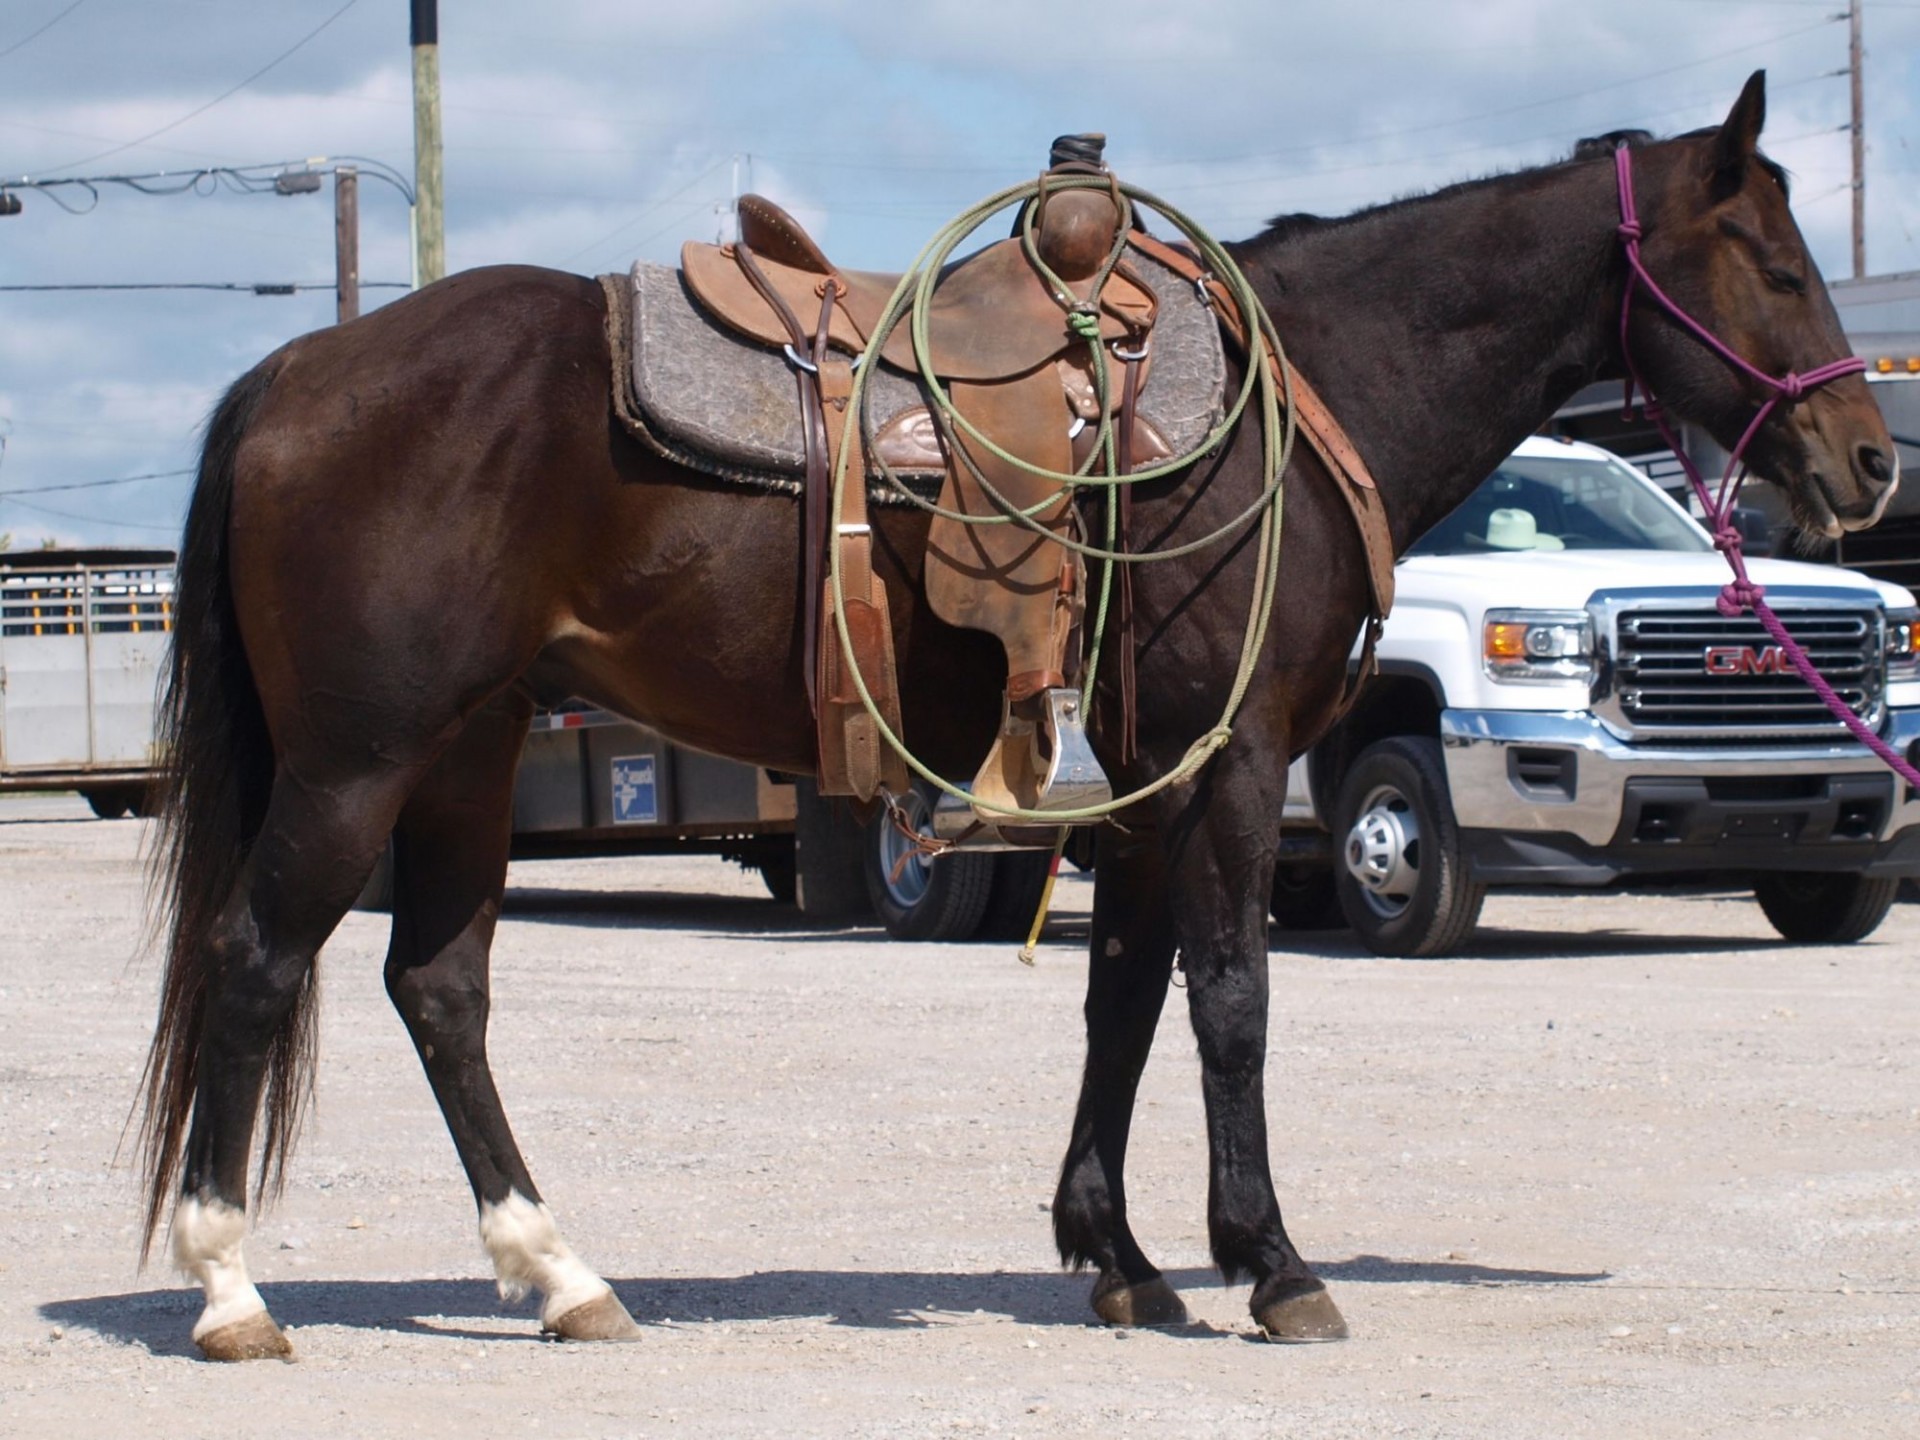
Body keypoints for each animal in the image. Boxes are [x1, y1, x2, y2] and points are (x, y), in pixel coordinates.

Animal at [135, 76, 1889, 1367]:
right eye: (1776, 264)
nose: (1869, 462)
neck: (1293, 397)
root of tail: (301, 371)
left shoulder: (1144, 778)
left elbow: (1121, 1002)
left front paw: (1119, 1258)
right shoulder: (1232, 763)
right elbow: (1233, 999)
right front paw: (1273, 1264)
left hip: (469, 756)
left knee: (440, 988)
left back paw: (560, 1273)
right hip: (359, 767)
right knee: (257, 960)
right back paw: (231, 1291)